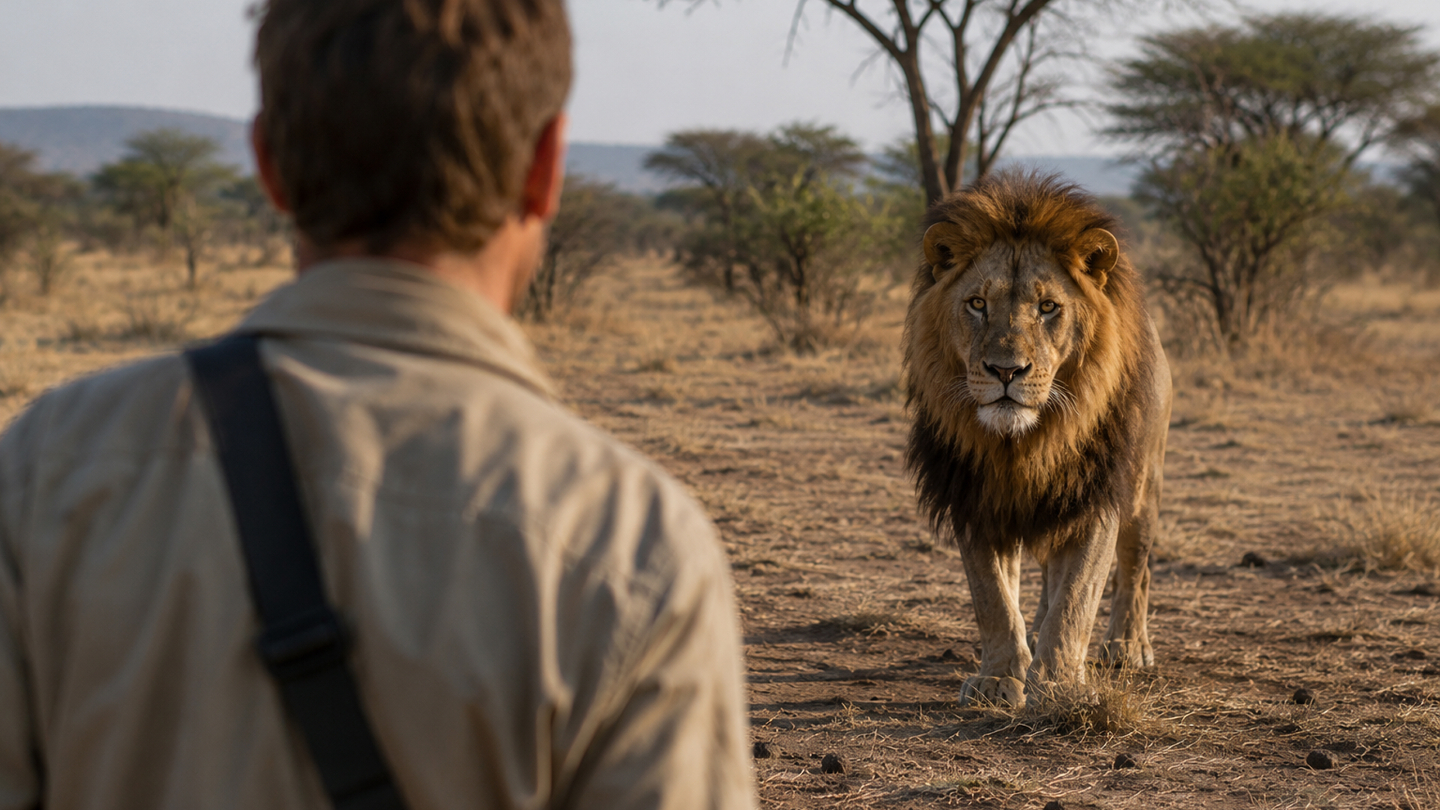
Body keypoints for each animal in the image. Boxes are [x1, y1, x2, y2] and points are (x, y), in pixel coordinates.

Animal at [902, 170, 1172, 708]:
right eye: (977, 304)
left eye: (1048, 307)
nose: (1006, 371)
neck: (1021, 445)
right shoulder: (974, 498)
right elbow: (993, 598)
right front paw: (999, 677)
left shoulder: (1096, 497)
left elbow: (1077, 599)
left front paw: (1061, 685)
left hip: (1143, 484)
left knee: (1136, 568)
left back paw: (1128, 646)